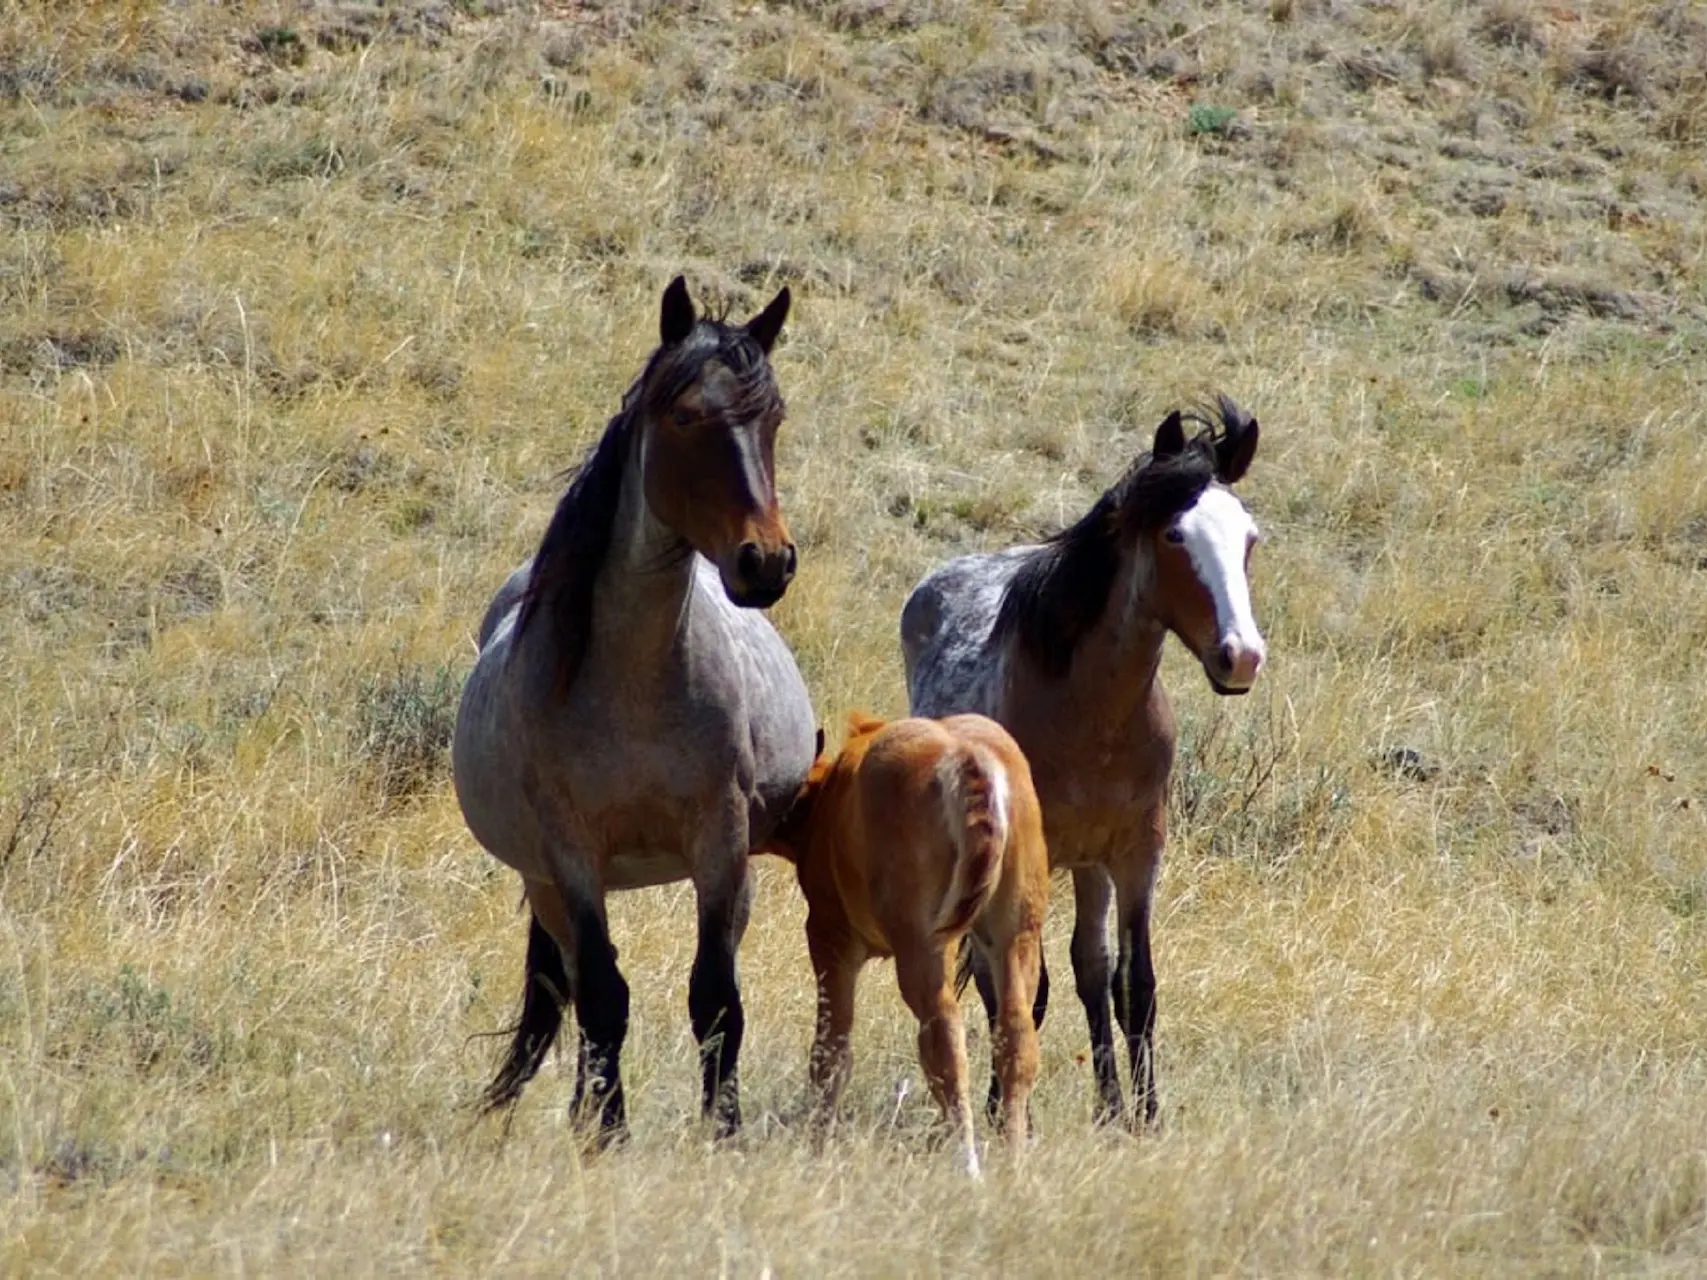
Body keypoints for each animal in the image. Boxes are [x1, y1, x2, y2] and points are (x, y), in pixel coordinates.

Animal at [457, 278, 815, 1140]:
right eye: (684, 415)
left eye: (774, 416)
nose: (765, 562)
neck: (634, 689)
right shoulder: (572, 856)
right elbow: (604, 998)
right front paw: (609, 1134)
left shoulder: (720, 842)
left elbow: (715, 999)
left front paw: (724, 1130)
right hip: (544, 884)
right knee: (573, 986)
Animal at [764, 716, 1051, 1181]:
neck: (829, 800)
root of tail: (969, 758)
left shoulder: (830, 939)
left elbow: (832, 1051)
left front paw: (815, 1152)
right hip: (1016, 934)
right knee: (1015, 1036)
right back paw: (1013, 1161)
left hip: (925, 945)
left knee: (943, 1038)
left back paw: (968, 1164)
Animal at [901, 401, 1263, 1133]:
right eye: (1175, 534)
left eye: (1249, 537)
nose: (1241, 656)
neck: (1092, 717)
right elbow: (1022, 988)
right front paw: (1007, 1111)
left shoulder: (1137, 850)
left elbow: (1132, 984)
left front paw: (1143, 1116)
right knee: (1000, 977)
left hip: (1091, 865)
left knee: (1089, 970)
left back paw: (1109, 1103)